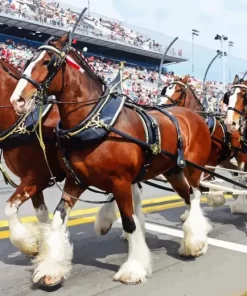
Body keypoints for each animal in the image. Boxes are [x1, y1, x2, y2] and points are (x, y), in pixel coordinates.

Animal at [10, 33, 212, 286]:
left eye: (48, 62)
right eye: (28, 61)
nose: (17, 100)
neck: (95, 121)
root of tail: (194, 116)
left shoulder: (121, 182)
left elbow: (130, 222)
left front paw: (133, 269)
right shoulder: (75, 181)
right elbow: (57, 219)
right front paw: (51, 269)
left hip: (192, 169)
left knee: (195, 195)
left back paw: (195, 241)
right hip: (172, 171)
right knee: (187, 196)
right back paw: (196, 239)